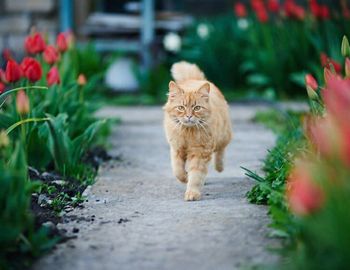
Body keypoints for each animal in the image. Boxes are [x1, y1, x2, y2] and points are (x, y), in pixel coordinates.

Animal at [163, 61, 232, 200]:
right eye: (181, 108)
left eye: (197, 108)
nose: (189, 116)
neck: (188, 132)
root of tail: (196, 79)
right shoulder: (176, 149)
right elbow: (178, 171)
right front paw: (185, 178)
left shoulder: (200, 153)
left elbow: (195, 176)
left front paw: (192, 193)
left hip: (223, 136)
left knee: (221, 151)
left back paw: (219, 167)